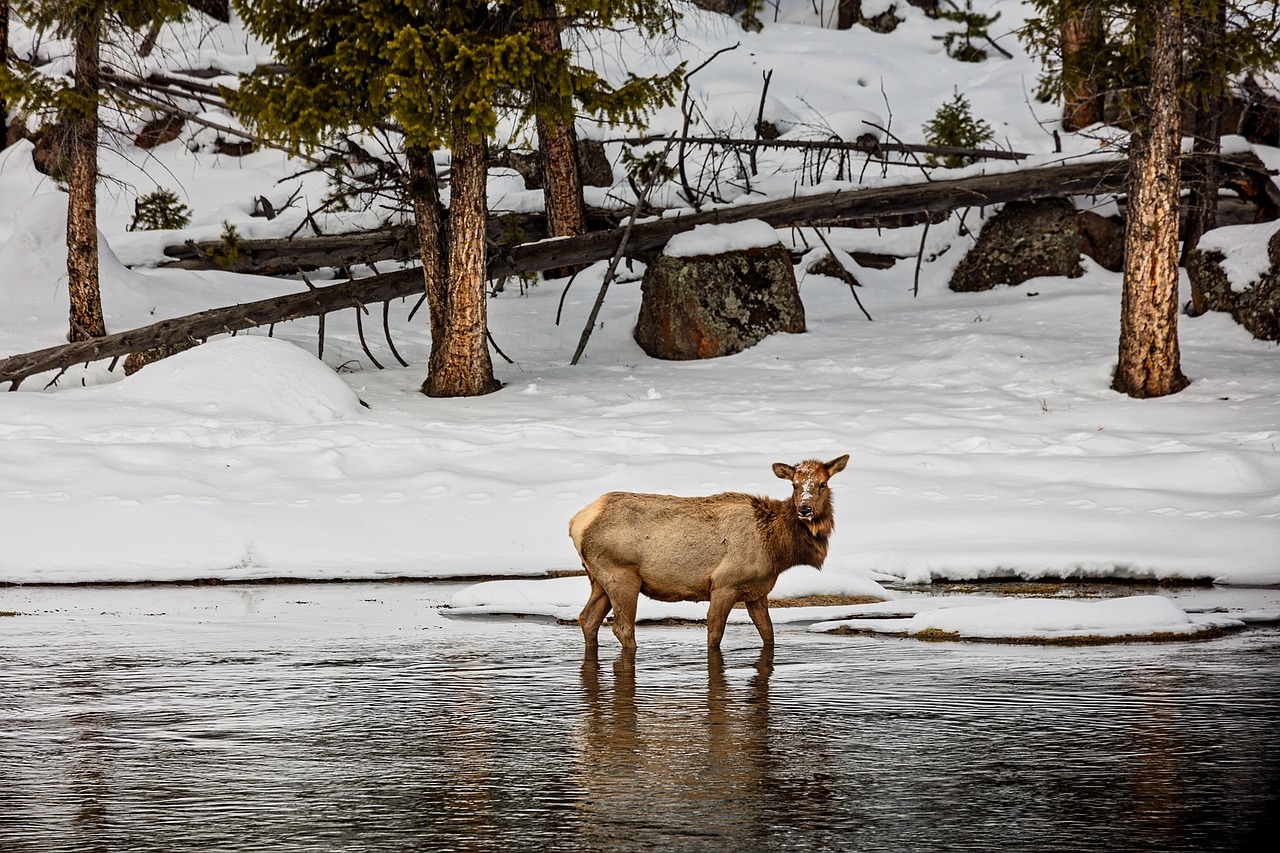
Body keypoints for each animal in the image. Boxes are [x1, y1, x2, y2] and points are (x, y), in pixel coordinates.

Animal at [570, 455, 849, 648]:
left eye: (823, 483)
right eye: (795, 485)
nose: (804, 509)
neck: (778, 548)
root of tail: (576, 522)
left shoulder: (757, 591)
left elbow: (768, 633)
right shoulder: (724, 584)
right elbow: (714, 634)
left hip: (599, 579)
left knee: (587, 619)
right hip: (621, 575)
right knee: (622, 627)